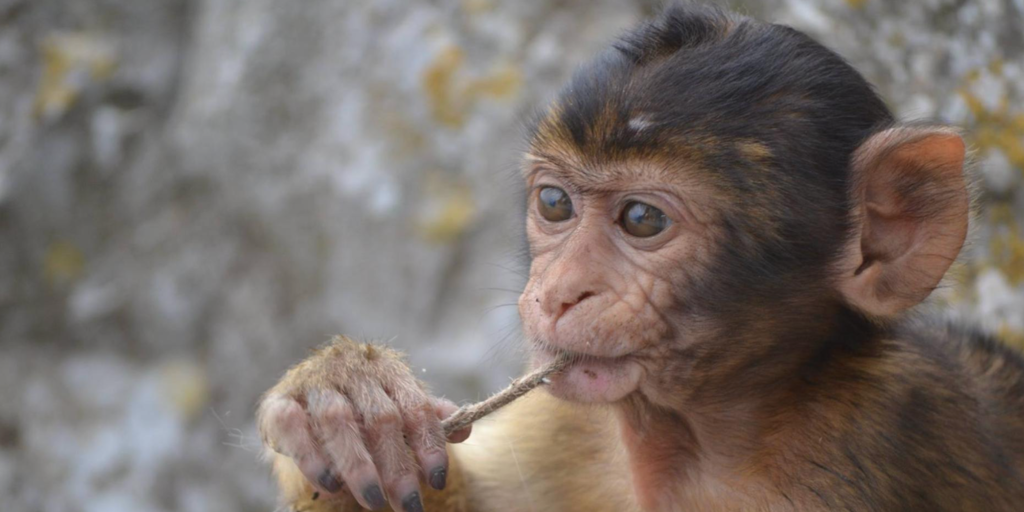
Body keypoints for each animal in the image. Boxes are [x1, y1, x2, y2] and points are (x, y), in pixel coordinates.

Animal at [256, 4, 1024, 512]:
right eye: (555, 203)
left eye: (642, 219)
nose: (559, 293)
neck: (701, 443)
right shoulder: (569, 425)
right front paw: (346, 404)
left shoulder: (848, 464)